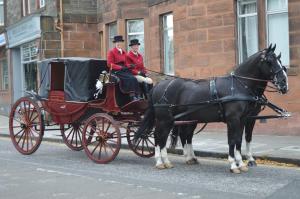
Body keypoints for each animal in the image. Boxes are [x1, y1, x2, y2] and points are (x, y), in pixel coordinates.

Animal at [134, 44, 288, 173]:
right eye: (269, 61)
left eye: (280, 61)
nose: (284, 84)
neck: (239, 85)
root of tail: (159, 85)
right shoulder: (233, 119)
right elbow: (232, 140)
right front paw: (233, 164)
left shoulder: (243, 119)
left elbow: (239, 139)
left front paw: (241, 163)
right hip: (164, 118)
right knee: (159, 136)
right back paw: (160, 161)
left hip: (177, 118)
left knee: (174, 136)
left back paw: (174, 160)